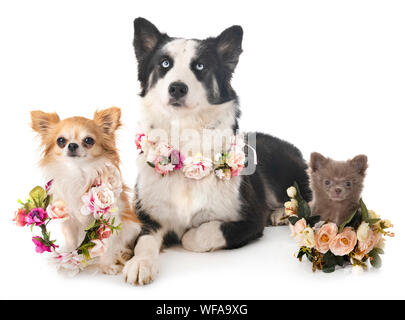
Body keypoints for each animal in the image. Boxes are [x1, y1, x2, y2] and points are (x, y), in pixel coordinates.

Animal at [122, 16, 310, 284]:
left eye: (200, 66)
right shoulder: (149, 216)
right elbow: (143, 241)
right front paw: (140, 263)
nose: (177, 88)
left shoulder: (251, 220)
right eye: (165, 64)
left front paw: (187, 235)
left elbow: (201, 233)